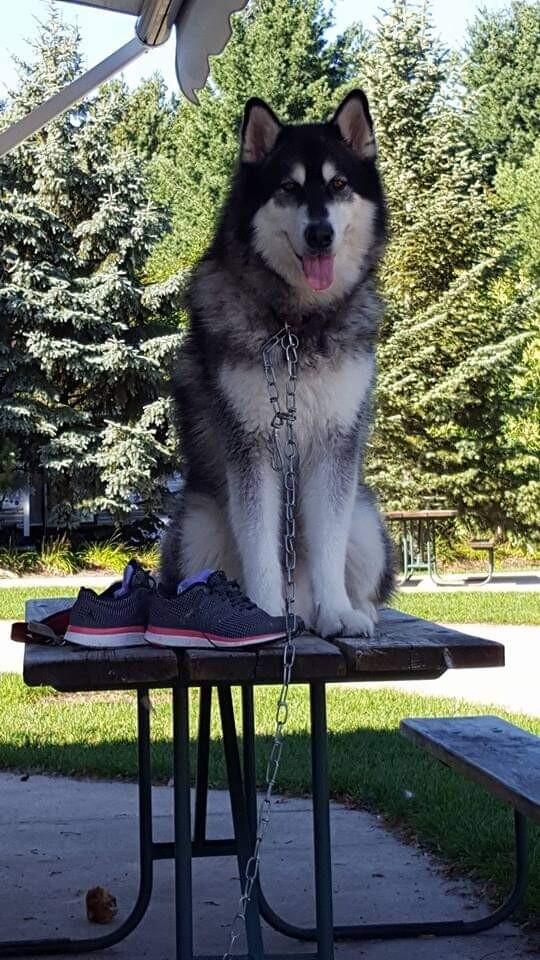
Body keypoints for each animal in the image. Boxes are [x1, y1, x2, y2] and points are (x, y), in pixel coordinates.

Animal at [160, 90, 395, 637]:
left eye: (338, 185)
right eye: (288, 187)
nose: (320, 234)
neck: (295, 325)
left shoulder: (335, 443)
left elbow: (328, 543)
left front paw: (339, 613)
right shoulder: (250, 444)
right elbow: (259, 542)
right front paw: (264, 613)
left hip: (367, 521)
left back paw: (354, 608)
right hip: (197, 525)